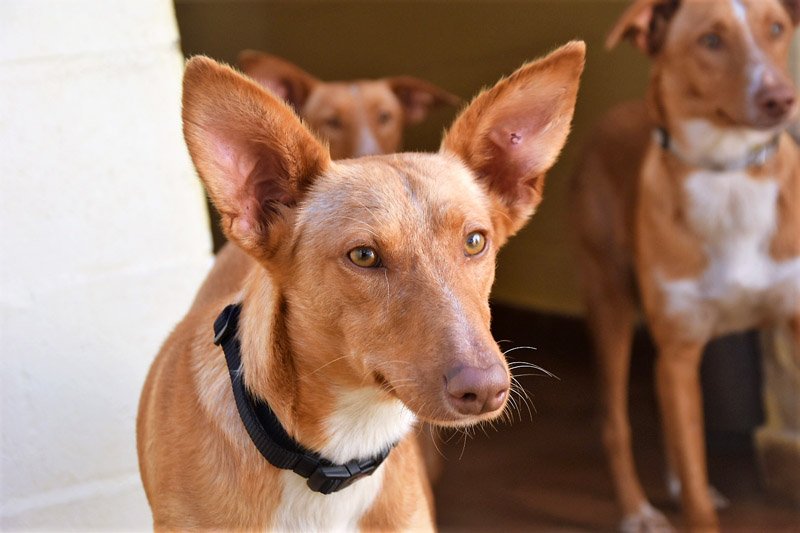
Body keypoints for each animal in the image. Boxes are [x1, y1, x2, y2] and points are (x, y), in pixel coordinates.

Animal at [572, 0, 799, 531]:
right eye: (711, 40)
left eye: (776, 28)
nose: (781, 98)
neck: (729, 173)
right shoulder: (679, 346)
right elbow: (696, 496)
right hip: (610, 303)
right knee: (615, 422)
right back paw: (638, 510)